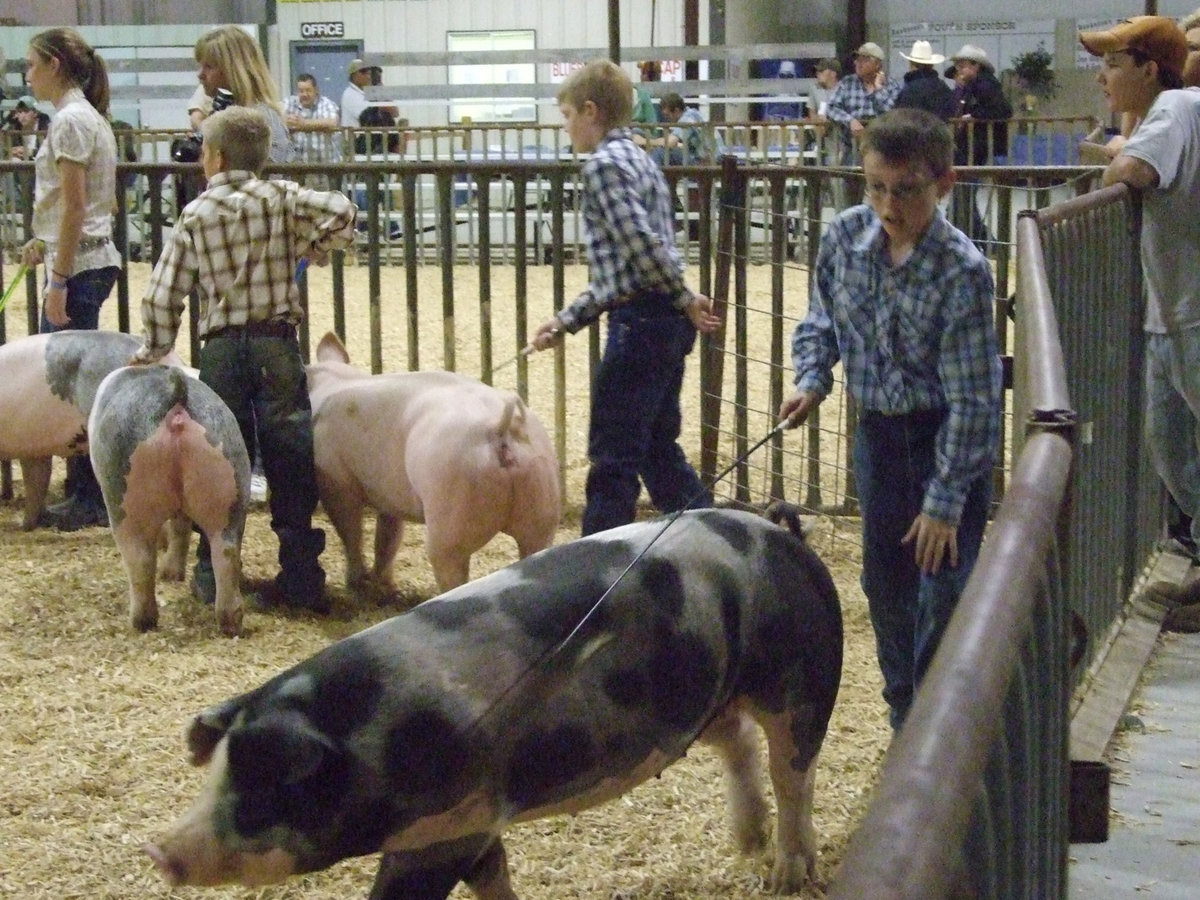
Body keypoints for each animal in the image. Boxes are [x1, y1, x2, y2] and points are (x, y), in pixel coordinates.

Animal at [88, 362, 250, 638]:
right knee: (226, 552)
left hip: (126, 498)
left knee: (140, 559)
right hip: (231, 479)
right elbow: (180, 528)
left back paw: (141, 622)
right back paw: (229, 623)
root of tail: (176, 400)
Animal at [142, 511, 844, 897]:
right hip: (703, 697)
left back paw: (785, 876)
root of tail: (784, 538)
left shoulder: (445, 829)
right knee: (738, 741)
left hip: (801, 683)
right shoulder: (474, 823)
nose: (158, 850)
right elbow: (493, 877)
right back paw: (747, 842)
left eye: (264, 790)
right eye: (218, 772)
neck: (376, 737)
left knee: (795, 773)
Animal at [304, 331, 556, 592]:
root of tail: (500, 427)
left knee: (450, 566)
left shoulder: (335, 481)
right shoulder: (389, 496)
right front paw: (383, 582)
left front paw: (356, 583)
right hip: (541, 499)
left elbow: (350, 532)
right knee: (534, 545)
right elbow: (388, 536)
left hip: (452, 507)